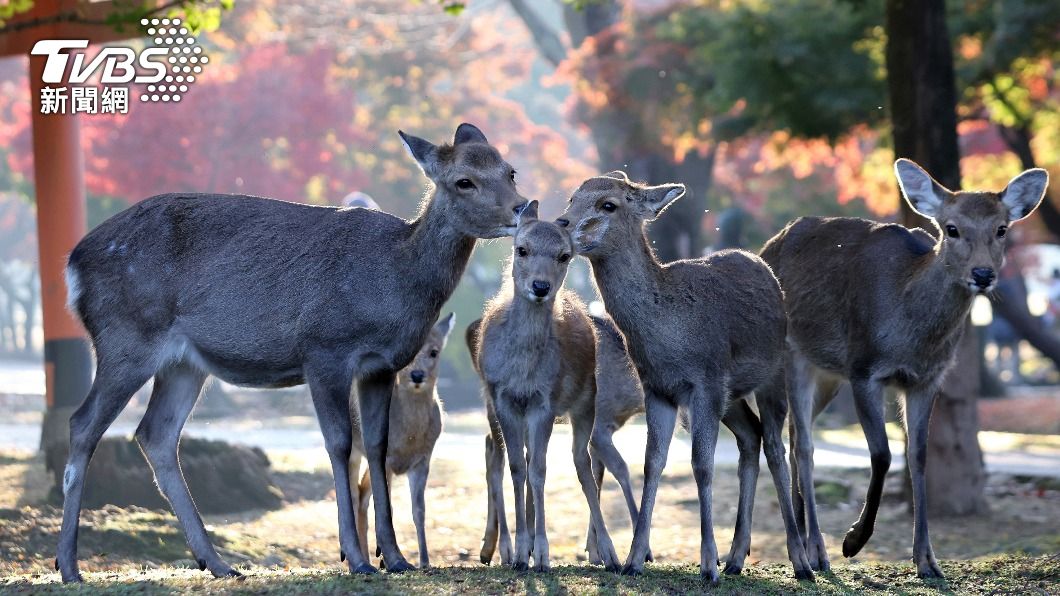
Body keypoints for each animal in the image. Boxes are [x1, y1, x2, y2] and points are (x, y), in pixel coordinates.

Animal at [348, 312, 454, 569]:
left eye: (434, 351)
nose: (417, 375)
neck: (409, 437)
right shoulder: (386, 459)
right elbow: (389, 506)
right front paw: (389, 558)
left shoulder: (423, 460)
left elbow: (419, 510)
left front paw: (425, 562)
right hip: (355, 449)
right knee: (354, 493)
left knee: (362, 493)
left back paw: (368, 557)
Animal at [466, 200, 624, 572]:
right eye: (521, 249)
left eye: (564, 255)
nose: (540, 286)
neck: (523, 370)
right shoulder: (503, 399)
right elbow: (517, 468)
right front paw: (522, 553)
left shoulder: (545, 402)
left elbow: (539, 470)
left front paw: (541, 554)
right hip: (493, 408)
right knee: (507, 456)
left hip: (586, 402)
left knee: (583, 463)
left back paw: (608, 553)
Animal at [469, 310, 649, 568]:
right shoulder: (600, 424)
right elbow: (620, 469)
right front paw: (643, 551)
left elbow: (597, 475)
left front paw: (595, 552)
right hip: (494, 403)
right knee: (498, 461)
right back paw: (506, 550)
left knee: (498, 449)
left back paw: (500, 547)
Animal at [558, 171, 814, 584]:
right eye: (571, 198)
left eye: (607, 204)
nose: (560, 224)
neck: (669, 335)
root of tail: (764, 268)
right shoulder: (658, 390)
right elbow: (652, 463)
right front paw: (633, 560)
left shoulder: (704, 382)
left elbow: (701, 465)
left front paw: (707, 565)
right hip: (732, 397)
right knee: (751, 436)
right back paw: (737, 558)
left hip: (774, 372)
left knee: (776, 448)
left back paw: (801, 563)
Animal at [758, 158, 1049, 579]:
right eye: (951, 228)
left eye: (1001, 228)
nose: (982, 274)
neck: (911, 339)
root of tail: (768, 246)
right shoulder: (864, 368)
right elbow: (881, 454)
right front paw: (853, 540)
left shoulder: (927, 380)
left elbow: (919, 455)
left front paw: (927, 560)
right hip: (793, 356)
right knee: (804, 445)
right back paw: (817, 551)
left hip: (828, 373)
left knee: (798, 435)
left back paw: (806, 538)